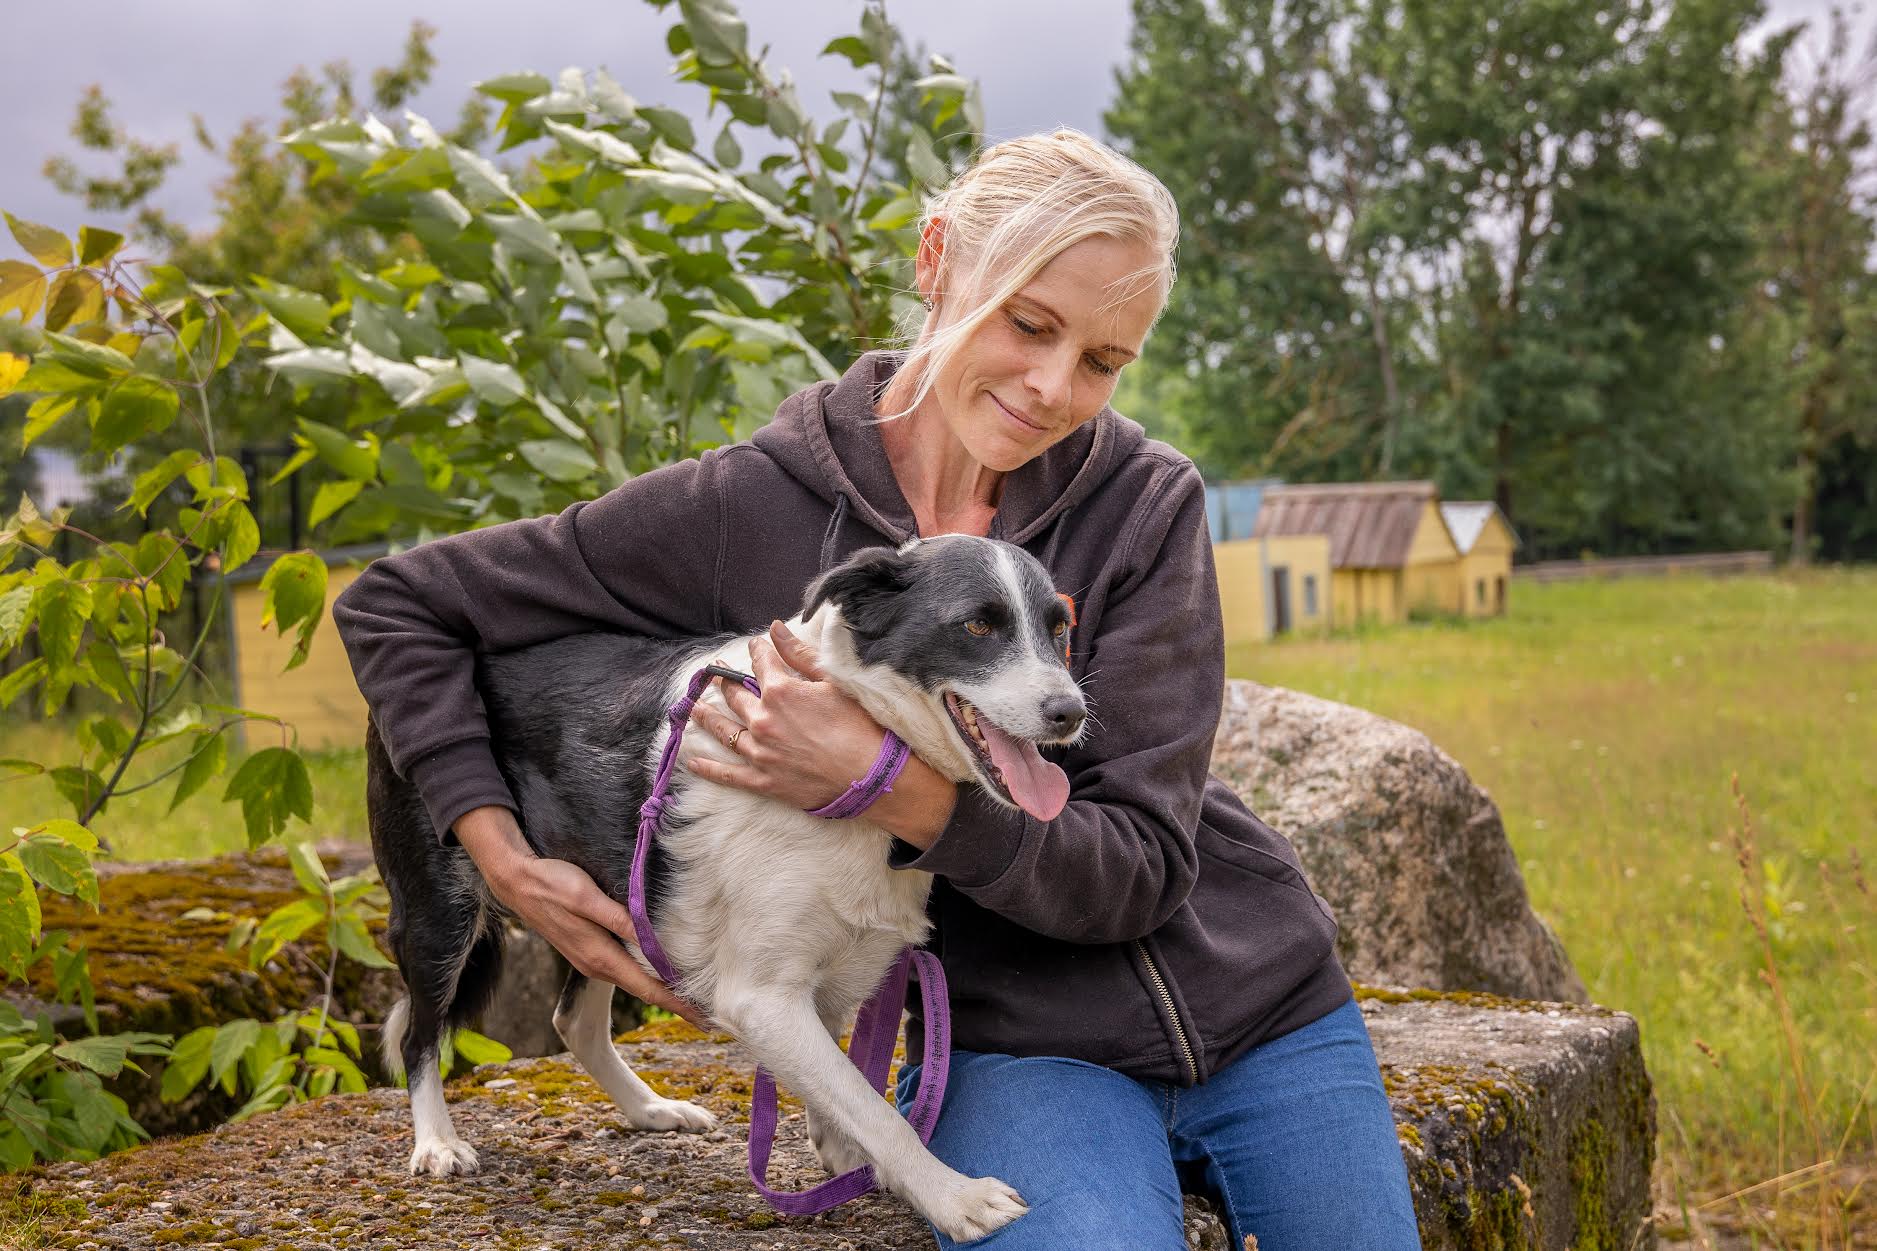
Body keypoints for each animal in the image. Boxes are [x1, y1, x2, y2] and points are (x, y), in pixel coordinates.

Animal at [364, 533, 1088, 1239]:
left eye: (1060, 628)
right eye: (977, 624)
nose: (1071, 712)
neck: (857, 778)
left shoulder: (828, 973)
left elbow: (844, 1086)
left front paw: (849, 1159)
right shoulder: (761, 997)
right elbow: (873, 1107)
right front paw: (952, 1197)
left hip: (615, 899)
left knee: (574, 1021)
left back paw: (650, 1109)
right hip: (440, 914)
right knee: (418, 1037)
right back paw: (437, 1142)